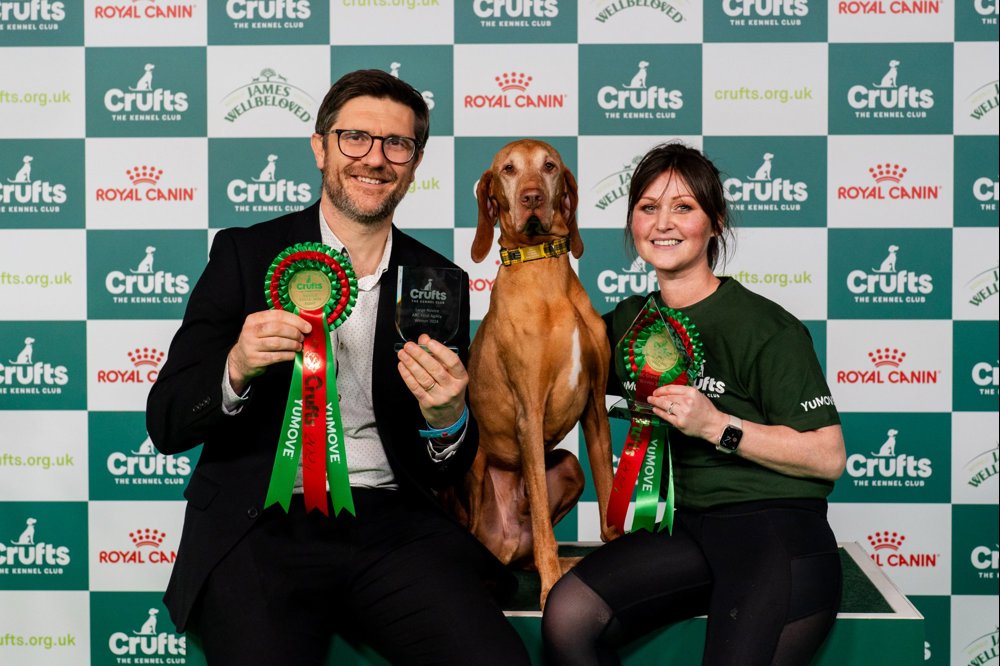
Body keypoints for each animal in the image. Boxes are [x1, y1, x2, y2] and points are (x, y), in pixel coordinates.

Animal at [460, 137, 616, 604]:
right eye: (508, 169)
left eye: (549, 166)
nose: (532, 198)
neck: (544, 273)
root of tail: (506, 547)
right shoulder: (529, 412)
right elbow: (546, 525)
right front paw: (549, 591)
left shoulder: (595, 408)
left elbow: (609, 503)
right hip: (473, 470)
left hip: (568, 465)